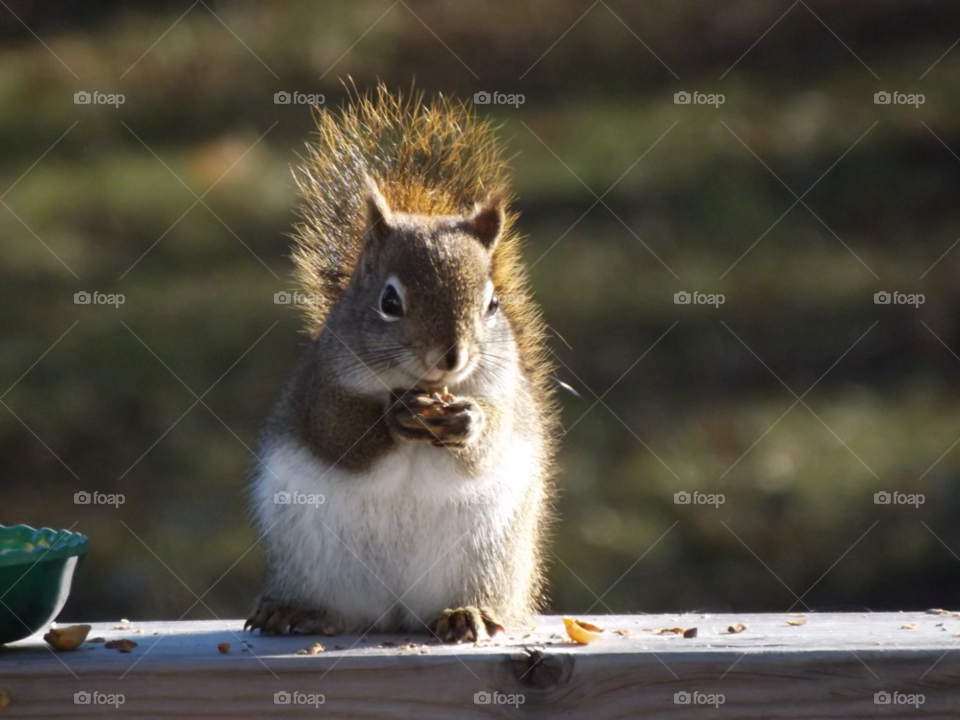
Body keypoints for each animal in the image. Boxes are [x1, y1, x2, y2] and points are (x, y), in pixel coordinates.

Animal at [245, 85, 558, 644]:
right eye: (389, 302)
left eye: (493, 304)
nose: (450, 357)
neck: (420, 385)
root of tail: (396, 612)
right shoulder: (320, 389)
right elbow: (340, 434)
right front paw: (395, 416)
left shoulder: (505, 394)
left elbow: (491, 440)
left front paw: (469, 421)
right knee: (338, 610)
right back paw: (296, 610)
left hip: (490, 557)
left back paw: (469, 613)